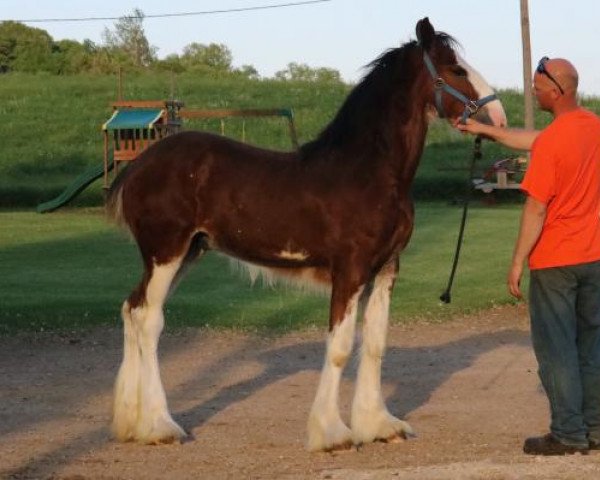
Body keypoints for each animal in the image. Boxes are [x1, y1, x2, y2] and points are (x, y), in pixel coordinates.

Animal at [105, 16, 504, 452]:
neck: (369, 170)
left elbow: (375, 345)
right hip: (167, 253)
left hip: (187, 254)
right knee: (149, 320)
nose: (498, 117)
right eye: (456, 69)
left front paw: (379, 425)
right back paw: (160, 426)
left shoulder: (386, 269)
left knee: (131, 308)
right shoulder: (350, 270)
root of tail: (137, 166)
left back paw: (130, 423)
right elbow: (340, 348)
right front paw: (332, 434)